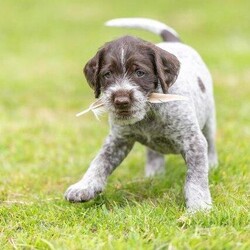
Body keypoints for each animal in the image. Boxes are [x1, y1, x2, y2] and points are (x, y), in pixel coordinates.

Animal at [65, 17, 219, 211]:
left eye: (140, 73)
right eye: (107, 74)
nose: (121, 100)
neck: (149, 113)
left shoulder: (193, 141)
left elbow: (196, 177)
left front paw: (199, 206)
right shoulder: (117, 140)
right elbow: (99, 162)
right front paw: (84, 186)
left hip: (209, 120)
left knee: (211, 144)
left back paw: (212, 166)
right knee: (153, 153)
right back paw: (154, 174)